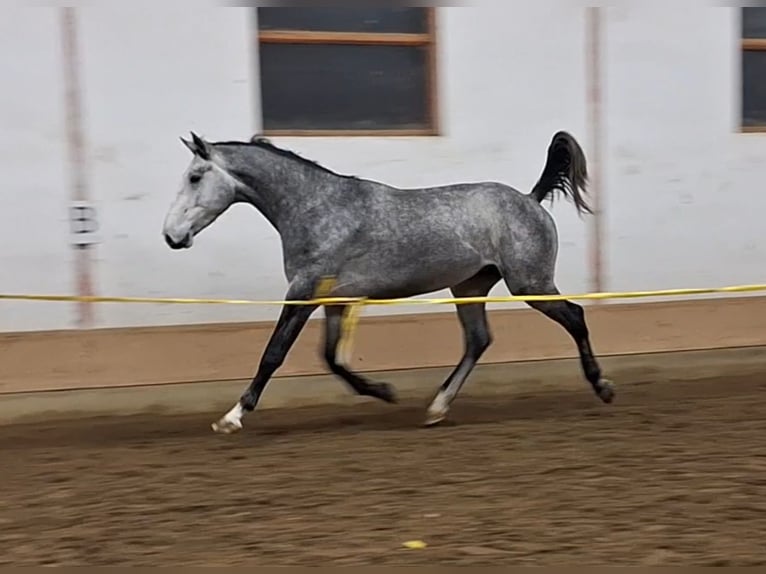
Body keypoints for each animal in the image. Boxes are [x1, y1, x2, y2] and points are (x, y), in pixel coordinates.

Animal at [164, 132, 616, 436]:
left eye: (195, 176)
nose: (172, 236)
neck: (318, 209)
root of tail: (530, 199)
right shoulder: (335, 299)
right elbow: (332, 358)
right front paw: (384, 391)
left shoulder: (304, 292)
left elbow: (274, 354)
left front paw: (232, 417)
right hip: (470, 286)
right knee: (478, 340)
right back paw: (436, 408)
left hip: (529, 282)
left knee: (575, 316)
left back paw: (603, 387)